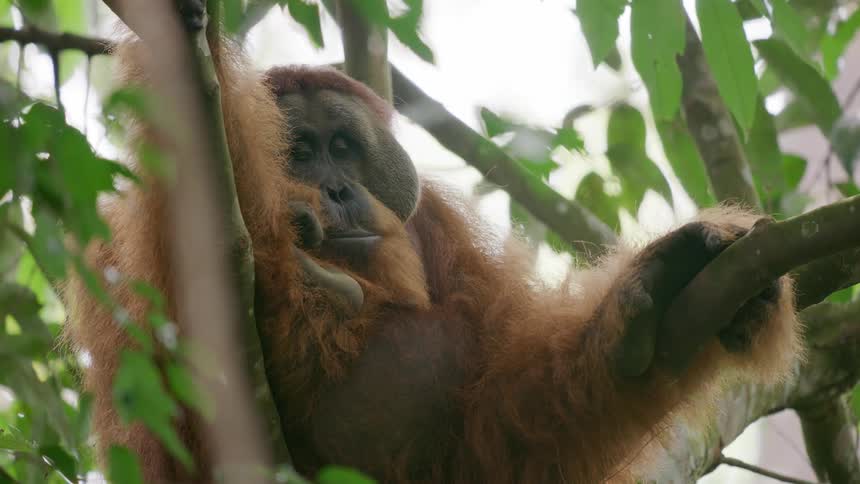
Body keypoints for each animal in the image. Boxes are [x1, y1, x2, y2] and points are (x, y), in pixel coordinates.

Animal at [62, 5, 802, 484]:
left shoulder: (440, 228)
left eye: (342, 148)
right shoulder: (120, 243)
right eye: (297, 153)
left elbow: (500, 435)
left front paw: (653, 297)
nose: (335, 190)